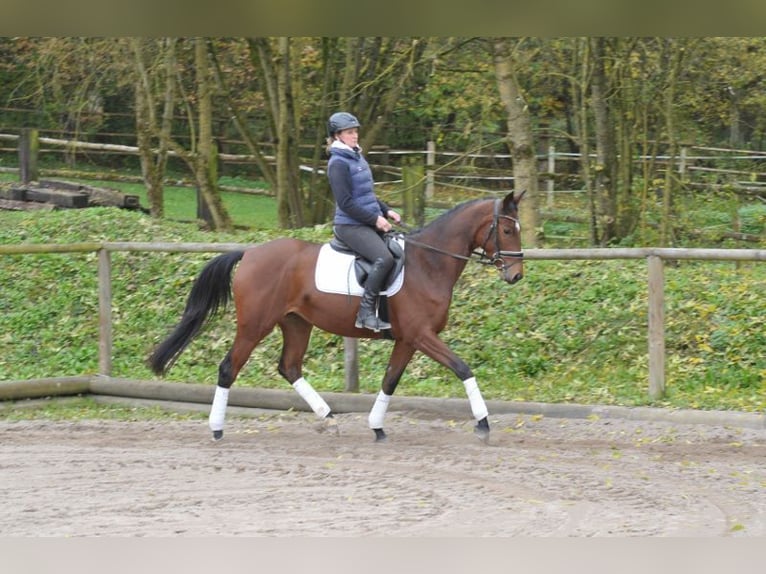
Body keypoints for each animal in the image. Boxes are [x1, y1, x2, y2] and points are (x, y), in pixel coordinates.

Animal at [147, 191, 524, 444]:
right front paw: (483, 424)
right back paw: (217, 429)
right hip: (254, 326)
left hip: (296, 323)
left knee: (290, 367)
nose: (516, 276)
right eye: (507, 231)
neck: (428, 264)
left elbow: (390, 380)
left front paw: (377, 427)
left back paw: (328, 418)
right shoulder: (421, 335)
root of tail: (251, 252)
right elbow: (463, 368)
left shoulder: (408, 339)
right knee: (229, 368)